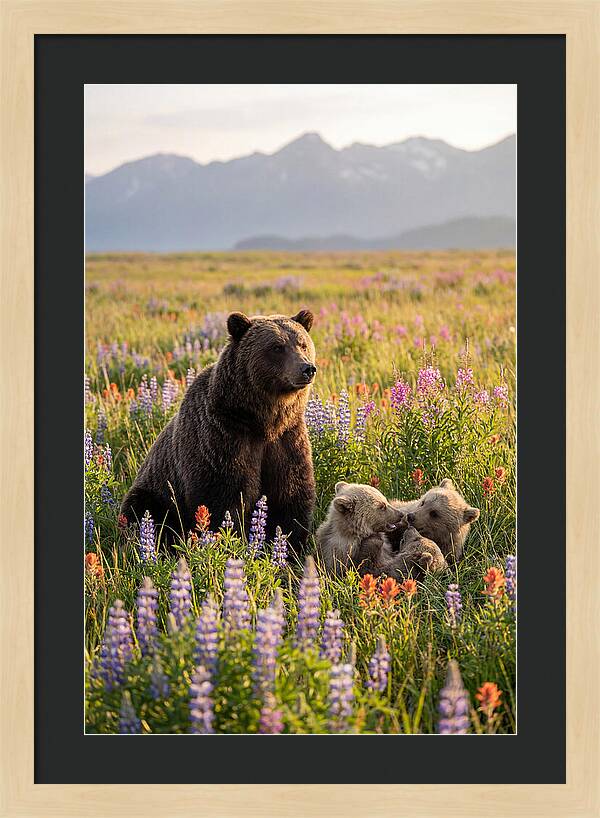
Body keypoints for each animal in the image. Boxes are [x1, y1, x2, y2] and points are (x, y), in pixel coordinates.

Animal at [120, 309, 317, 554]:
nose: (307, 368)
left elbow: (291, 495)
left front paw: (290, 549)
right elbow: (222, 497)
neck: (262, 421)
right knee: (143, 512)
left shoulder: (287, 439)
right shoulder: (222, 438)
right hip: (155, 492)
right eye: (277, 347)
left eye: (303, 344)